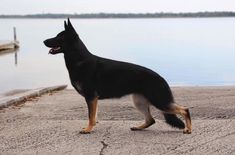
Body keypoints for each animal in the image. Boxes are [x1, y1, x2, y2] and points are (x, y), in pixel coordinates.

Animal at [43, 18, 191, 134]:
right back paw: (138, 127)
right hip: (139, 102)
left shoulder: (91, 97)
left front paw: (88, 130)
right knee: (151, 120)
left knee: (184, 109)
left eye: (59, 37)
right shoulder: (93, 99)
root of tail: (161, 78)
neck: (79, 59)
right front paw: (91, 127)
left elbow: (90, 116)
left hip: (159, 101)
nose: (43, 41)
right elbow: (93, 116)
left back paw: (188, 129)